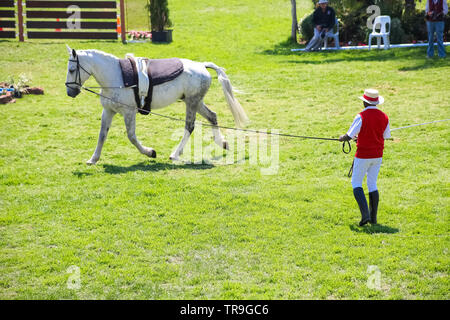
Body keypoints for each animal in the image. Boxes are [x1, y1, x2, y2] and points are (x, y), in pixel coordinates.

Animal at [63, 45, 248, 165]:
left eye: (72, 70)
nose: (70, 92)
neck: (116, 77)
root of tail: (201, 65)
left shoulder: (129, 112)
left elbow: (131, 136)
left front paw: (150, 152)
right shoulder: (108, 111)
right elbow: (102, 135)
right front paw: (93, 159)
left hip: (192, 102)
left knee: (190, 126)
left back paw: (175, 154)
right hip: (195, 101)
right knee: (212, 116)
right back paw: (222, 142)